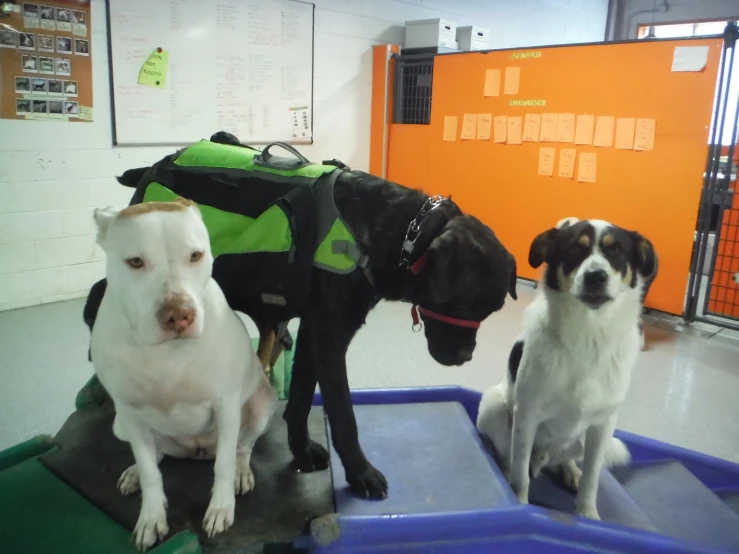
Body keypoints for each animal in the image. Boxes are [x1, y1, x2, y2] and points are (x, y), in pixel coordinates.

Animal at [91, 197, 276, 548]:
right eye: (135, 262)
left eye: (196, 255)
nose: (179, 315)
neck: (165, 352)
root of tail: (196, 451)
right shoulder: (129, 410)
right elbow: (151, 472)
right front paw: (151, 517)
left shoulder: (226, 404)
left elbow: (223, 465)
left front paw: (221, 508)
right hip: (121, 425)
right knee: (155, 455)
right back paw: (135, 472)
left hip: (260, 406)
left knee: (242, 447)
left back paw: (241, 471)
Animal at [476, 219, 656, 516]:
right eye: (574, 249)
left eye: (616, 250)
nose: (596, 277)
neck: (588, 336)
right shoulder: (527, 417)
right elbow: (521, 476)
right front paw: (520, 503)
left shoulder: (602, 426)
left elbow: (592, 481)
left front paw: (588, 515)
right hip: (494, 406)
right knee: (509, 458)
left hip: (581, 440)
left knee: (566, 460)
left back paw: (570, 470)